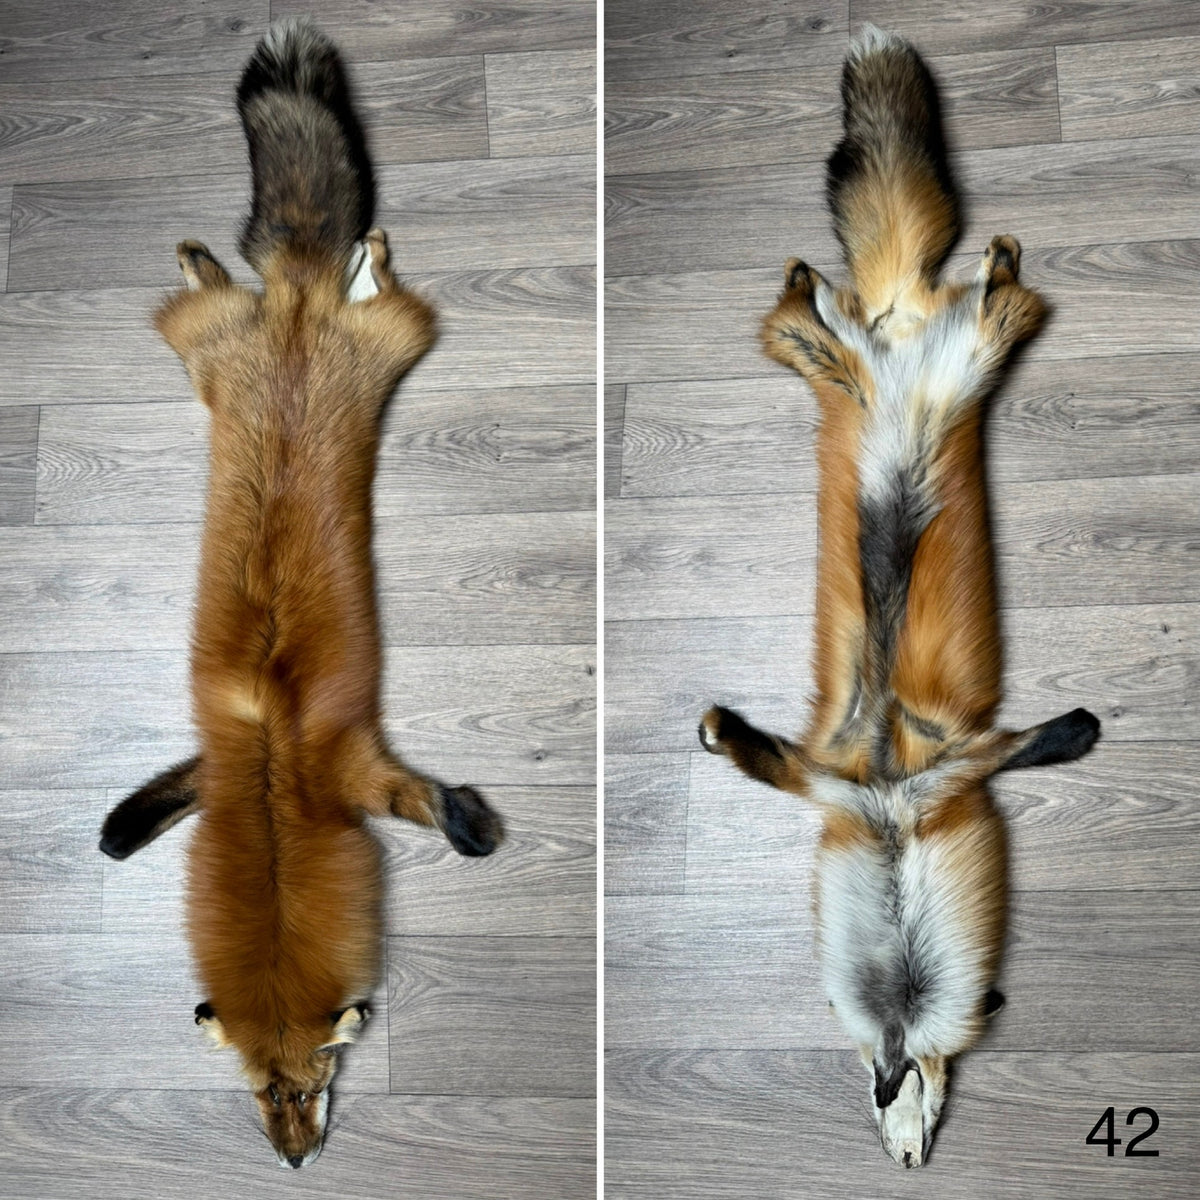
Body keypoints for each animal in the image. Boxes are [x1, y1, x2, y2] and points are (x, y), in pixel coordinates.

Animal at [98, 20, 503, 1168]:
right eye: (256, 1093)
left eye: (315, 1085)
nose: (292, 1162)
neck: (275, 794)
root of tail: (293, 303)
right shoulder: (218, 761)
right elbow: (137, 818)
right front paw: (119, 828)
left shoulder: (350, 767)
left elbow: (437, 811)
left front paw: (474, 825)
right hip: (204, 348)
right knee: (232, 272)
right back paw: (213, 253)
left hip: (389, 337)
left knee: (367, 275)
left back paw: (362, 253)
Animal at [699, 26, 1100, 1167]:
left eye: (920, 1099)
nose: (906, 1157)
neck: (888, 814)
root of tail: (899, 320)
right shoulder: (830, 779)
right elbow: (754, 754)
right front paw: (719, 729)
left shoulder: (954, 767)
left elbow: (1039, 741)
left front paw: (1081, 730)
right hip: (829, 361)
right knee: (806, 312)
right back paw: (816, 276)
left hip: (972, 358)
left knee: (999, 298)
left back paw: (990, 263)